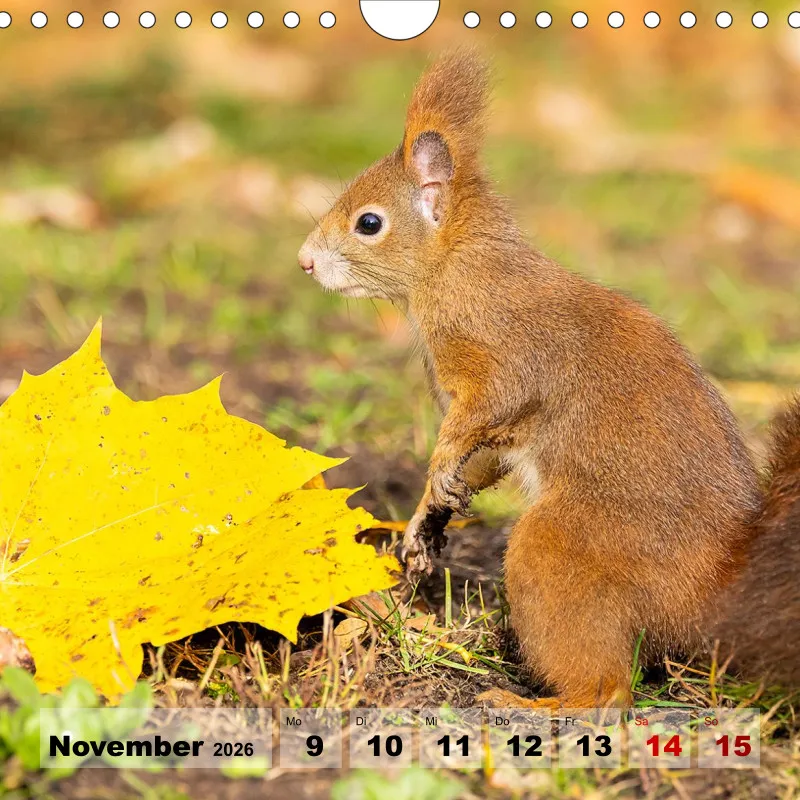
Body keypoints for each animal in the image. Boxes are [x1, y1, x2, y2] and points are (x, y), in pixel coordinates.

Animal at [298, 50, 800, 708]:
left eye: (369, 223)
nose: (304, 262)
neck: (456, 267)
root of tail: (709, 594)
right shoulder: (490, 424)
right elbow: (482, 458)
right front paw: (431, 511)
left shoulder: (502, 359)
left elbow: (480, 416)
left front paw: (436, 475)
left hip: (556, 548)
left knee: (609, 691)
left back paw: (530, 700)